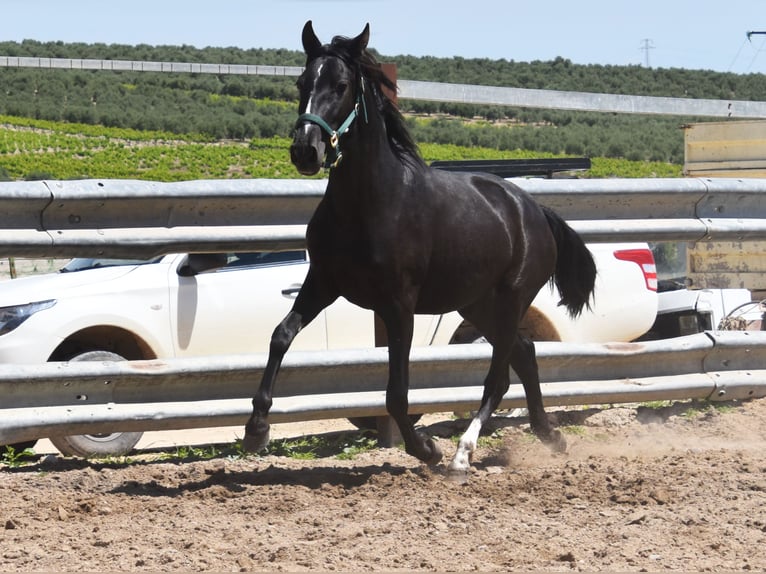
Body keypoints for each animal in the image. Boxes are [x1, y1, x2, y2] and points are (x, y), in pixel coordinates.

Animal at [243, 21, 596, 476]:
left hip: (511, 299)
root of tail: (534, 209)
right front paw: (256, 428)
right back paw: (550, 435)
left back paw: (463, 454)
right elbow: (280, 336)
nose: (306, 150)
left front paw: (426, 449)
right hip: (476, 305)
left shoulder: (399, 304)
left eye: (341, 85)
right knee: (525, 352)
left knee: (500, 375)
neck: (372, 203)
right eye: (302, 82)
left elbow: (397, 392)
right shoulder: (322, 282)